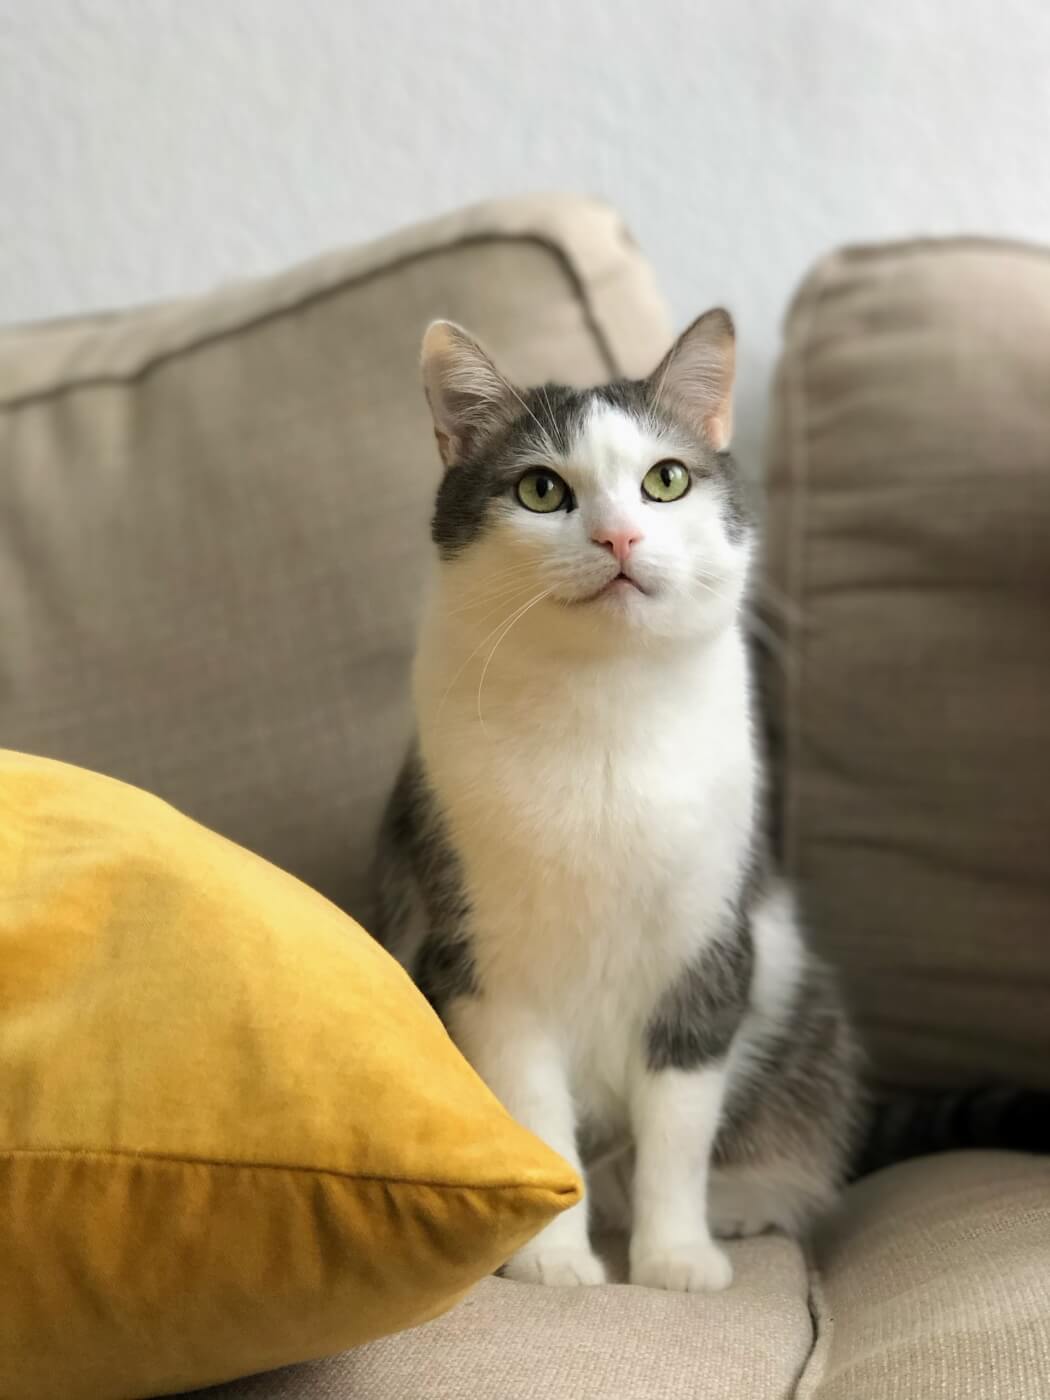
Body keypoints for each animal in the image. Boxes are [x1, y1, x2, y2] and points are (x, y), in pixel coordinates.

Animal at [375, 312, 868, 1293]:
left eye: (665, 479)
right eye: (540, 489)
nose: (619, 541)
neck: (601, 713)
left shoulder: (706, 953)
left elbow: (678, 1135)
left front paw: (676, 1259)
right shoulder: (485, 966)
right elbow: (535, 1114)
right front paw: (553, 1262)